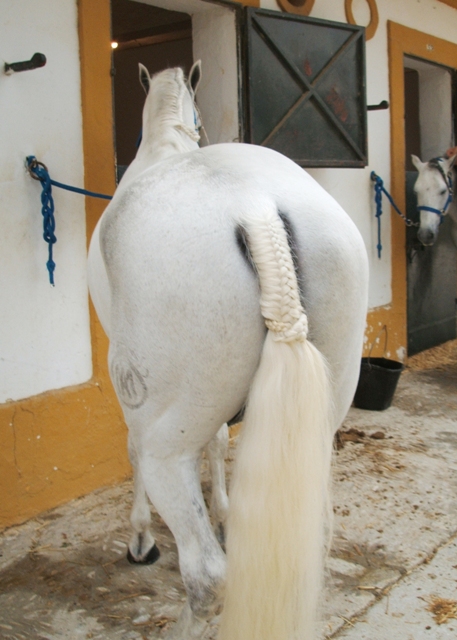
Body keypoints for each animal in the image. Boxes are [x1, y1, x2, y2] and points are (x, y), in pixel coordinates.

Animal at [87, 62, 368, 640]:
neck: (166, 144)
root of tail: (255, 209)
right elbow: (218, 441)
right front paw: (223, 512)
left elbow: (131, 450)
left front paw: (141, 539)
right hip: (320, 421)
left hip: (165, 445)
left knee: (207, 576)